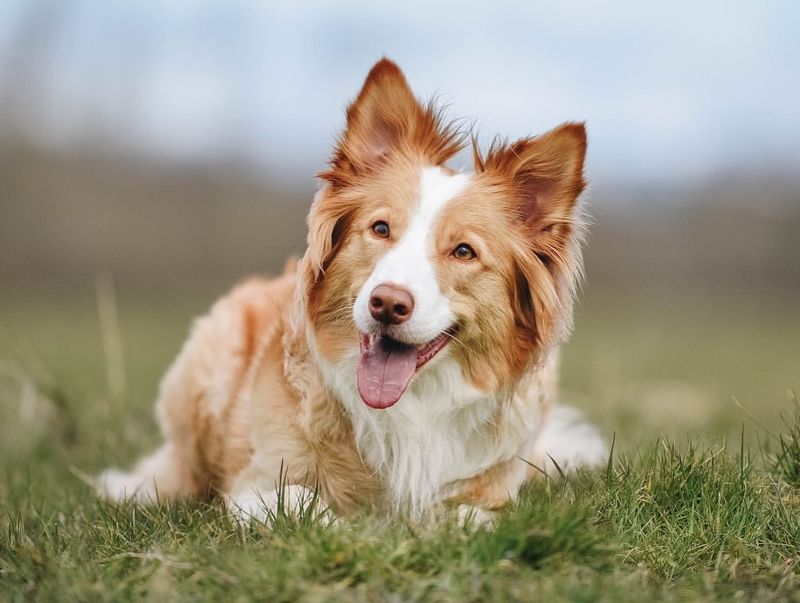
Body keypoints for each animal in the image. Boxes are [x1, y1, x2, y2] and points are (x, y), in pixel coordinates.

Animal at [97, 57, 604, 524]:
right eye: (380, 228)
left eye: (463, 251)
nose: (388, 304)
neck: (412, 408)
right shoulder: (254, 484)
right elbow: (305, 504)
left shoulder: (491, 490)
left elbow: (472, 516)